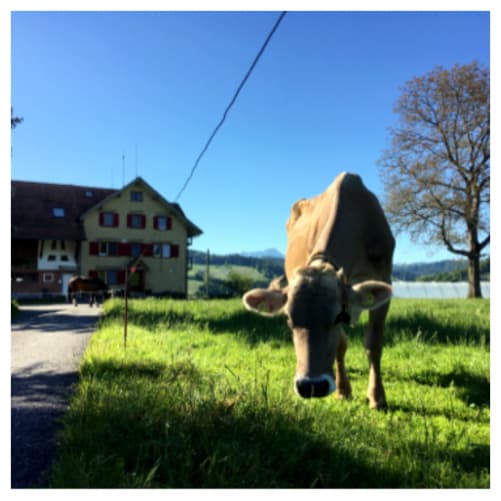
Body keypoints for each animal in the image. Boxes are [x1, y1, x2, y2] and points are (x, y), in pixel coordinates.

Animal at [243, 174, 394, 408]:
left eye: (339, 316)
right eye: (288, 318)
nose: (311, 386)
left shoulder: (383, 278)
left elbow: (374, 344)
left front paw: (377, 397)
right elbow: (341, 344)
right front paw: (343, 390)